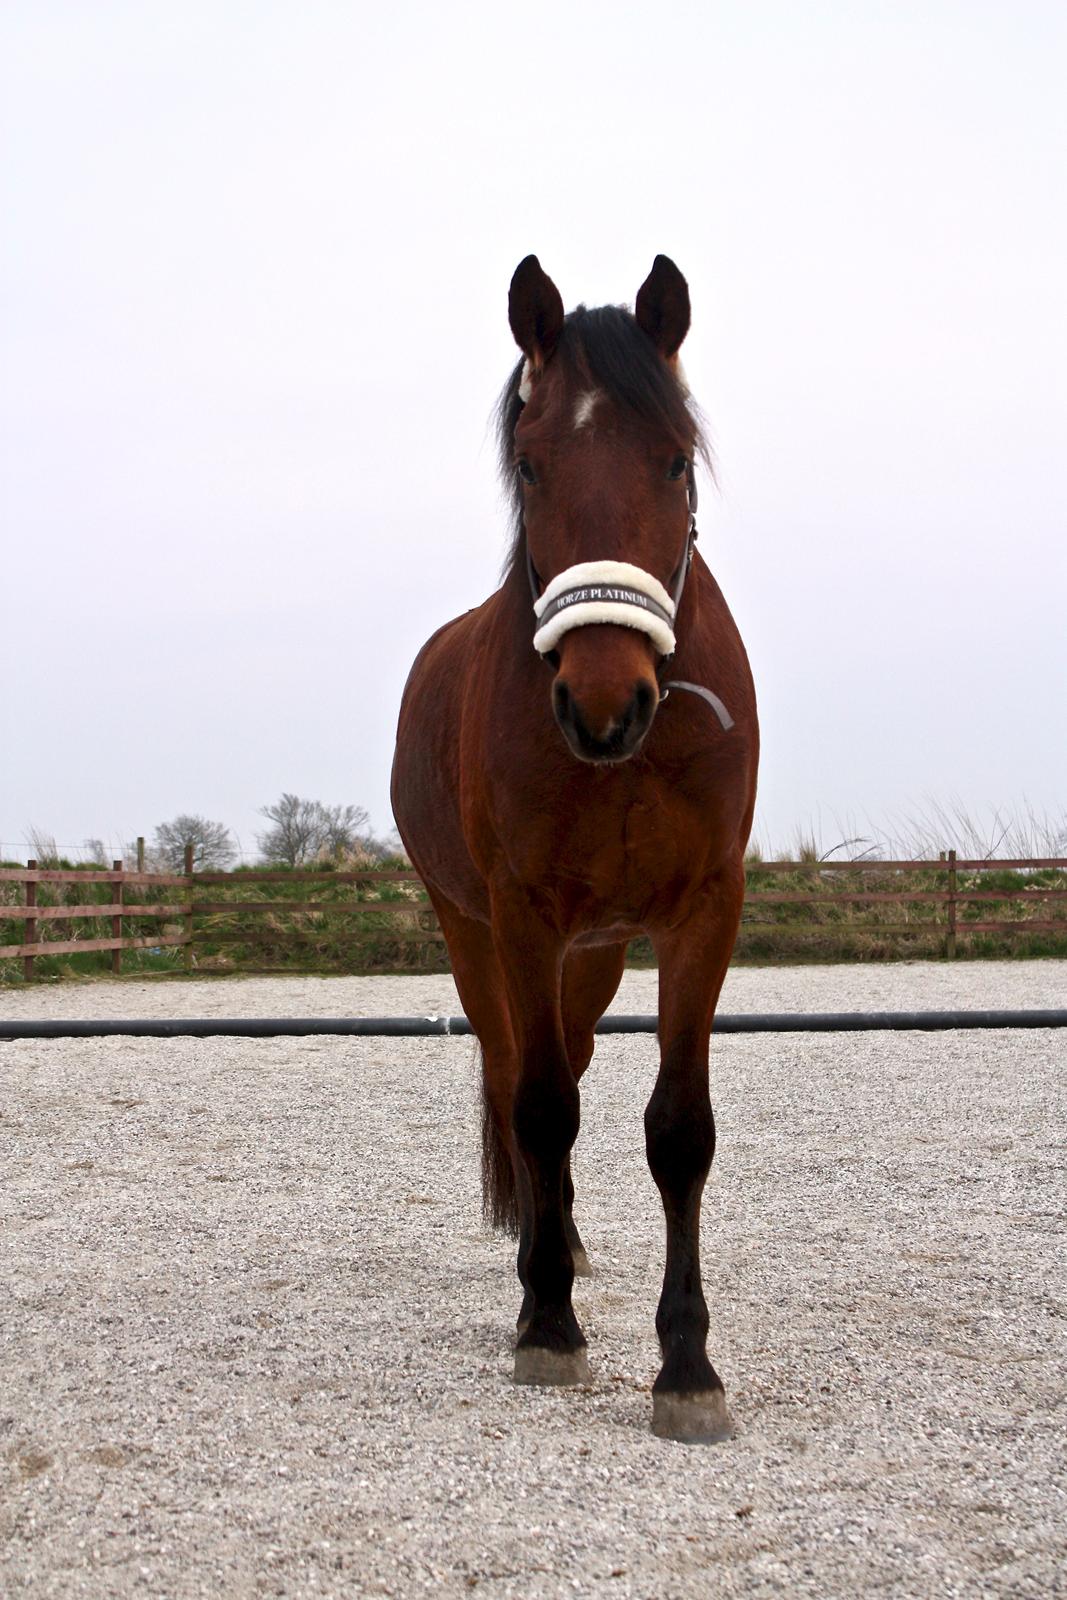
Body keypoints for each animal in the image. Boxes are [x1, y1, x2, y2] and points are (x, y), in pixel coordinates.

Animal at [391, 252, 758, 1452]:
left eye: (675, 460)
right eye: (532, 464)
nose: (604, 705)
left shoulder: (700, 913)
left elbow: (677, 1131)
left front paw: (685, 1363)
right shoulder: (520, 915)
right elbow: (541, 1106)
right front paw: (547, 1324)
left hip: (593, 955)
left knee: (580, 1061)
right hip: (480, 933)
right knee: (519, 1077)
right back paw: (533, 1266)